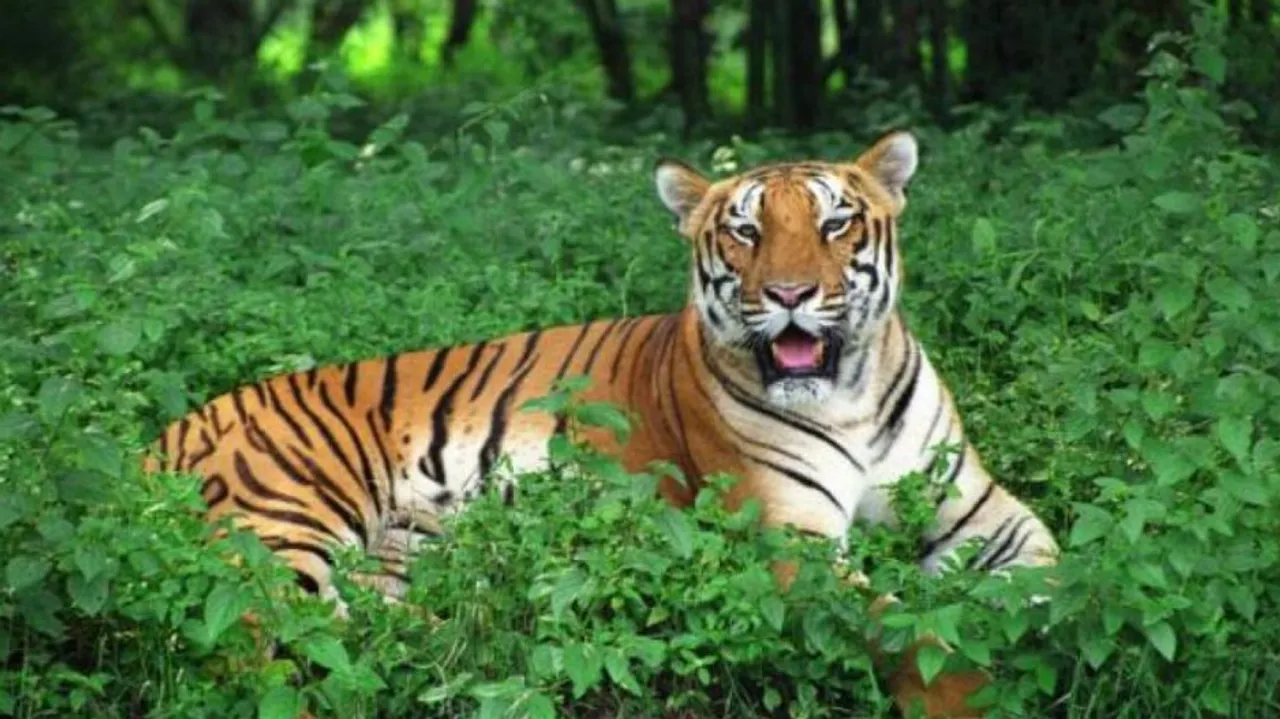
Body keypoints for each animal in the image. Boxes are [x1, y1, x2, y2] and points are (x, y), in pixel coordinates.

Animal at [144, 131, 1059, 717]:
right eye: (746, 229)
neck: (850, 393)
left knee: (375, 626)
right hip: (286, 520)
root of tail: (164, 433)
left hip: (398, 550)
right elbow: (912, 630)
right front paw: (982, 692)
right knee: (257, 644)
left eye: (835, 223)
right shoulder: (787, 543)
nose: (791, 293)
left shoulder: (981, 512)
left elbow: (1053, 576)